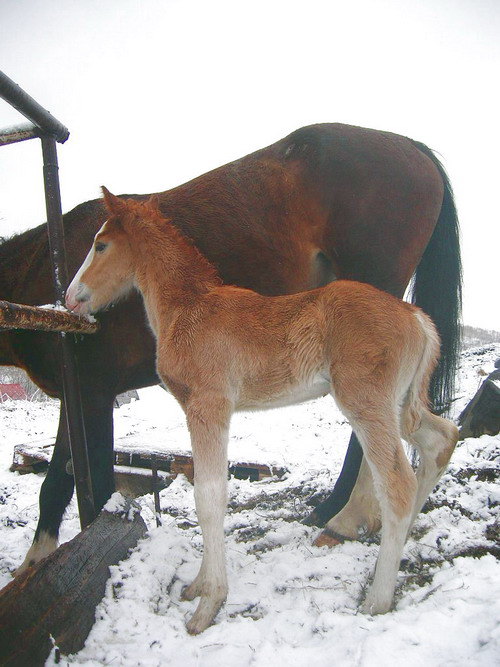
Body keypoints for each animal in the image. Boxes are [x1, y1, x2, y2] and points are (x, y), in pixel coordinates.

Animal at [65, 190, 458, 636]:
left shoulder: (209, 406)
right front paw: (197, 585)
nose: (71, 297)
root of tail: (416, 317)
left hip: (366, 402)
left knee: (397, 484)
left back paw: (377, 599)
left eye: (100, 245)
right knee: (442, 439)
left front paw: (208, 605)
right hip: (400, 406)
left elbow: (210, 497)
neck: (189, 310)